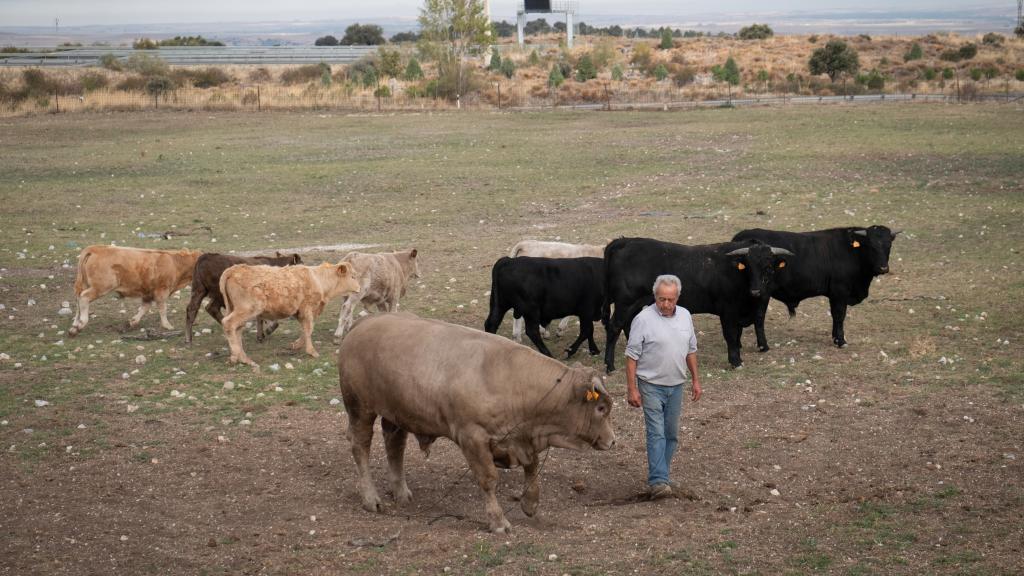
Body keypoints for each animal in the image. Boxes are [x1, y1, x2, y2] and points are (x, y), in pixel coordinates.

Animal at [68, 242, 201, 336]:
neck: (175, 263)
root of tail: (95, 248)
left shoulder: (148, 293)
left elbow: (144, 308)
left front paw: (132, 322)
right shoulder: (161, 291)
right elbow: (162, 308)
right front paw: (167, 325)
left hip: (86, 284)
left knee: (78, 299)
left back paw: (74, 326)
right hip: (101, 286)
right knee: (84, 297)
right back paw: (81, 324)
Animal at [220, 262, 360, 364]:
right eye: (352, 276)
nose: (359, 288)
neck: (318, 279)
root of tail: (234, 269)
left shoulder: (302, 312)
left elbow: (306, 329)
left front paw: (296, 345)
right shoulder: (307, 309)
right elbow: (309, 329)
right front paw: (311, 351)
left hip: (236, 309)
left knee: (237, 329)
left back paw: (239, 356)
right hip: (247, 309)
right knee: (228, 324)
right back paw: (241, 357)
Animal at [337, 311, 614, 532]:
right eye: (601, 408)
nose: (612, 441)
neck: (509, 378)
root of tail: (363, 323)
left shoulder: (521, 438)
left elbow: (532, 468)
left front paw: (530, 504)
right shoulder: (473, 439)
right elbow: (488, 479)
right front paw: (498, 521)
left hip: (396, 412)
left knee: (395, 446)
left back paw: (401, 491)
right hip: (360, 409)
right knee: (360, 447)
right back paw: (371, 498)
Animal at [602, 235, 794, 368]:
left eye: (768, 267)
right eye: (748, 267)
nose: (756, 291)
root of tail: (625, 241)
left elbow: (744, 330)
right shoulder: (728, 311)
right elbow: (731, 335)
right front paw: (735, 361)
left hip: (634, 304)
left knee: (628, 326)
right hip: (625, 303)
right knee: (614, 327)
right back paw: (609, 365)